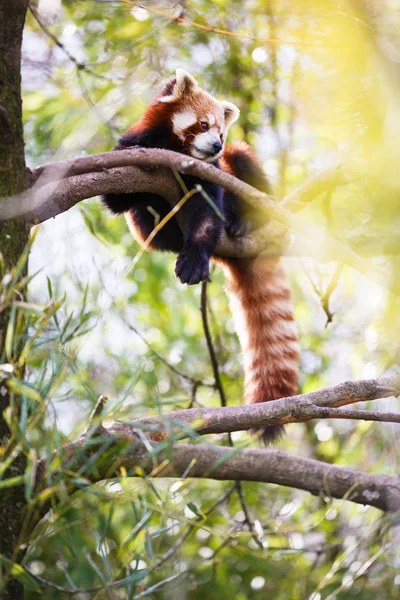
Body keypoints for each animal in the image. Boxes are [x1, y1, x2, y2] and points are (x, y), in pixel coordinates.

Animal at [101, 69, 298, 440]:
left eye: (221, 131)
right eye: (203, 124)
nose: (218, 144)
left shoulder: (208, 174)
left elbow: (206, 214)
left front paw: (193, 261)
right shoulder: (124, 156)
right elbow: (116, 197)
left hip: (245, 175)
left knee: (244, 161)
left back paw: (244, 222)